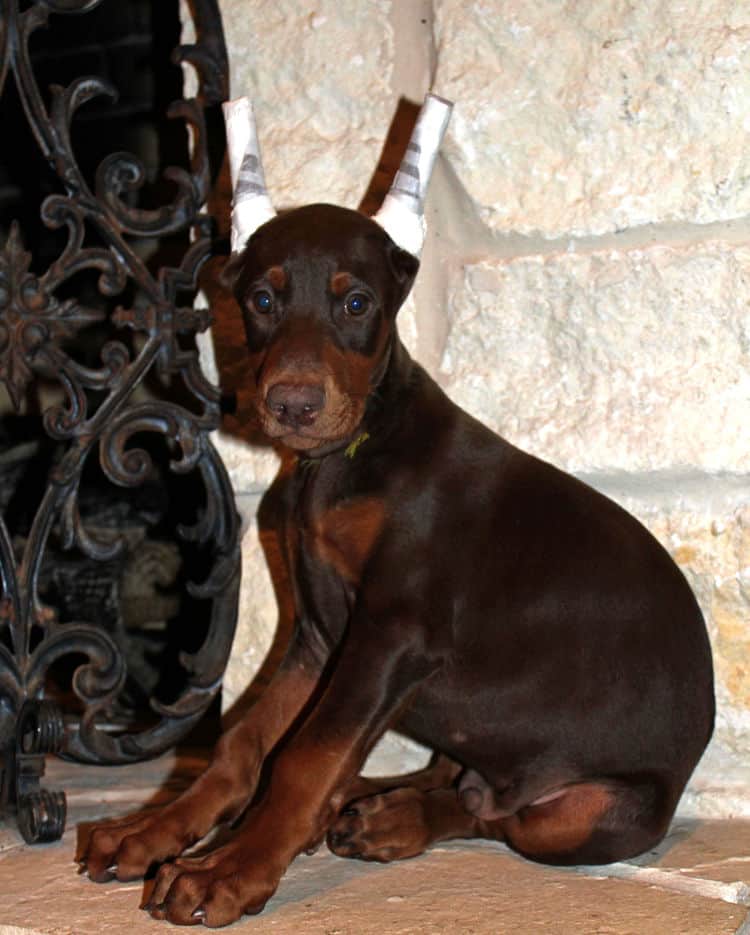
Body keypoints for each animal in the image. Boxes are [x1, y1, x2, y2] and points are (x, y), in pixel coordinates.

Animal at [81, 201, 716, 924]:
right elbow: (247, 742)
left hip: (590, 813)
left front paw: (231, 868)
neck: (348, 453)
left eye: (357, 302)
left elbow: (304, 758)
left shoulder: (390, 633)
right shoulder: (320, 638)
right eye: (263, 300)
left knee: (493, 815)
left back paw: (388, 818)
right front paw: (150, 829)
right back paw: (369, 804)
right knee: (456, 784)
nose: (293, 404)